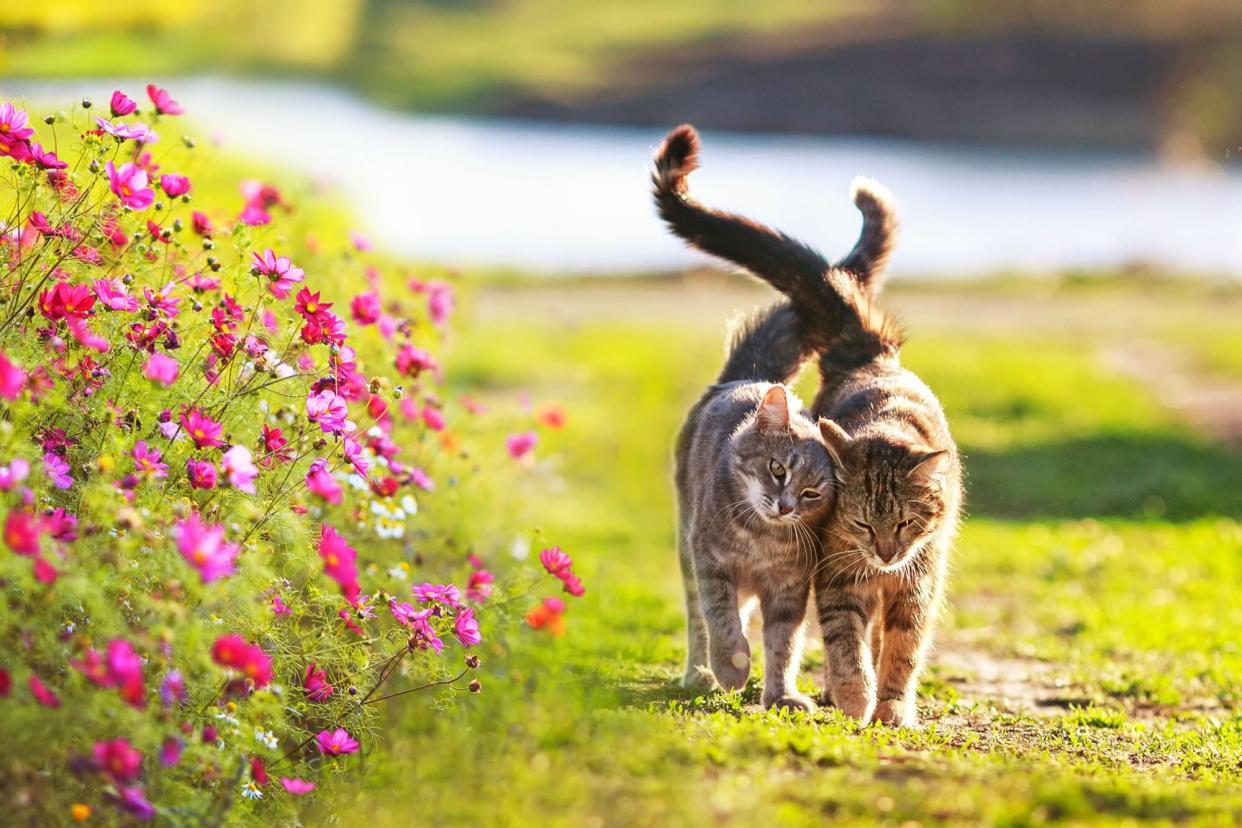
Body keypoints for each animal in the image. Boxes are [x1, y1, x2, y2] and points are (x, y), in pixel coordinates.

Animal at [670, 304, 834, 715]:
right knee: (698, 619)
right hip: (687, 550)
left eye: (812, 493)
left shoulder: (790, 587)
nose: (784, 506)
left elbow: (783, 645)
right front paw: (731, 667)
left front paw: (781, 695)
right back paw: (700, 673)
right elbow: (721, 619)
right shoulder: (710, 562)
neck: (762, 539)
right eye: (778, 469)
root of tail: (750, 377)